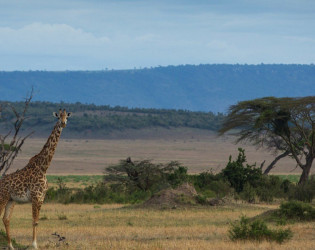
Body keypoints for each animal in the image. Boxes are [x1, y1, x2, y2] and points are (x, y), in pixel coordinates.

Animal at [0, 108, 71, 249]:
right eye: (58, 117)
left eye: (67, 117)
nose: (63, 123)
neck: (43, 167)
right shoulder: (35, 196)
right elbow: (34, 221)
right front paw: (34, 245)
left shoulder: (41, 197)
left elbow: (37, 221)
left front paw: (34, 244)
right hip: (2, 197)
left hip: (11, 200)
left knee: (6, 219)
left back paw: (11, 246)